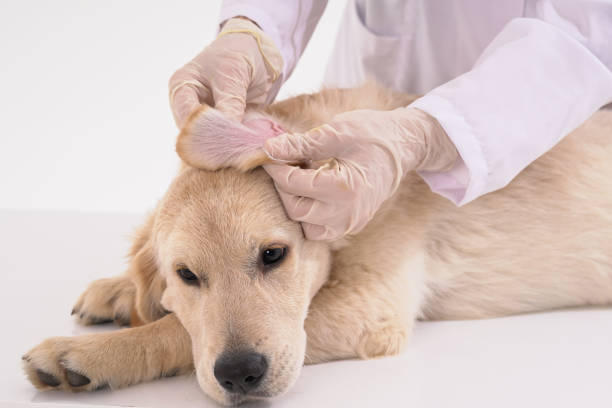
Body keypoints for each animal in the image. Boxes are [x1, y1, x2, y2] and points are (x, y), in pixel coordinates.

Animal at [21, 83, 608, 404]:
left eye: (273, 255)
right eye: (187, 276)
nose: (240, 374)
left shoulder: (370, 309)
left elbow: (174, 334)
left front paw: (87, 354)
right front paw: (120, 290)